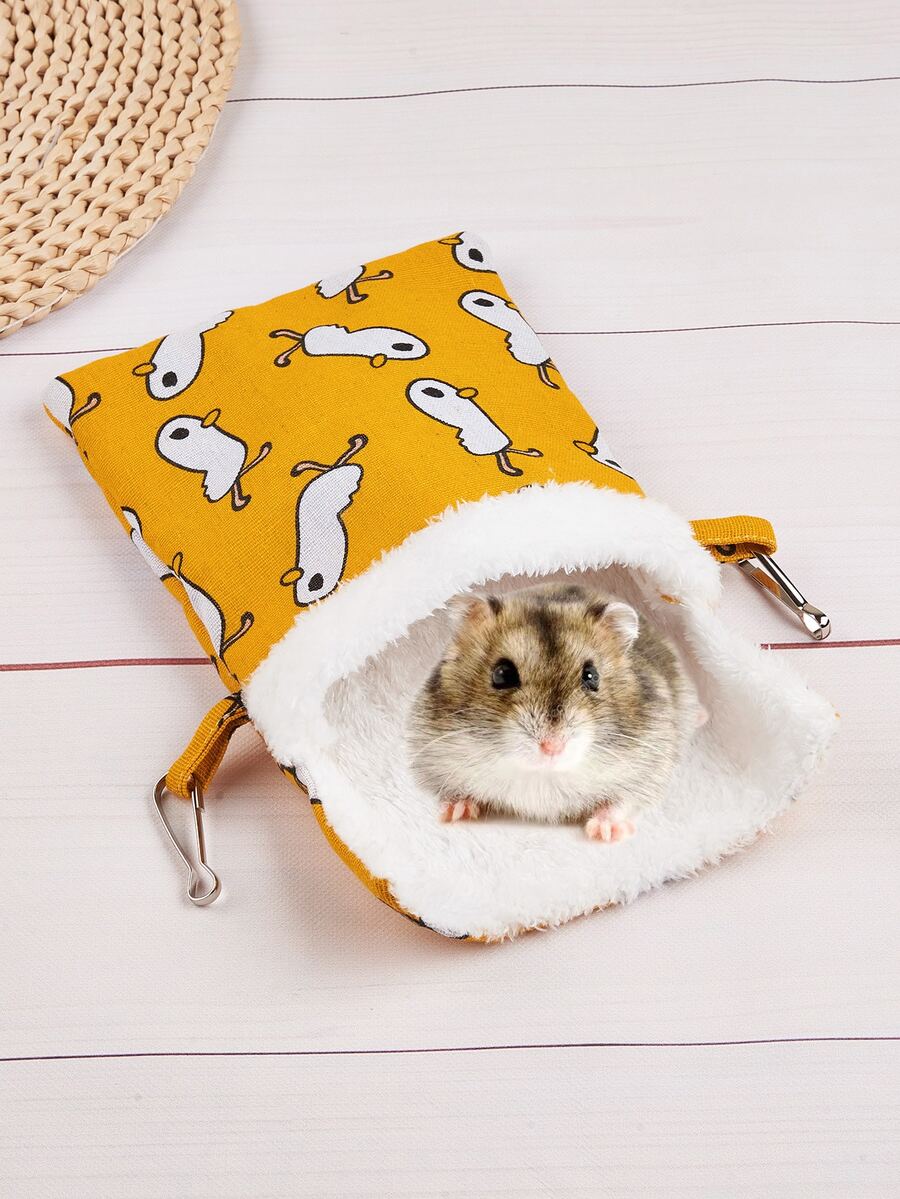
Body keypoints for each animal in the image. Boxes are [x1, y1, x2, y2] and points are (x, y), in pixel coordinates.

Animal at [407, 582, 705, 841]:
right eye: (502, 674)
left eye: (591, 675)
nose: (552, 747)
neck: (542, 774)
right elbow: (453, 790)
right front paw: (451, 813)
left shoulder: (648, 766)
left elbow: (622, 801)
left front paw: (604, 832)